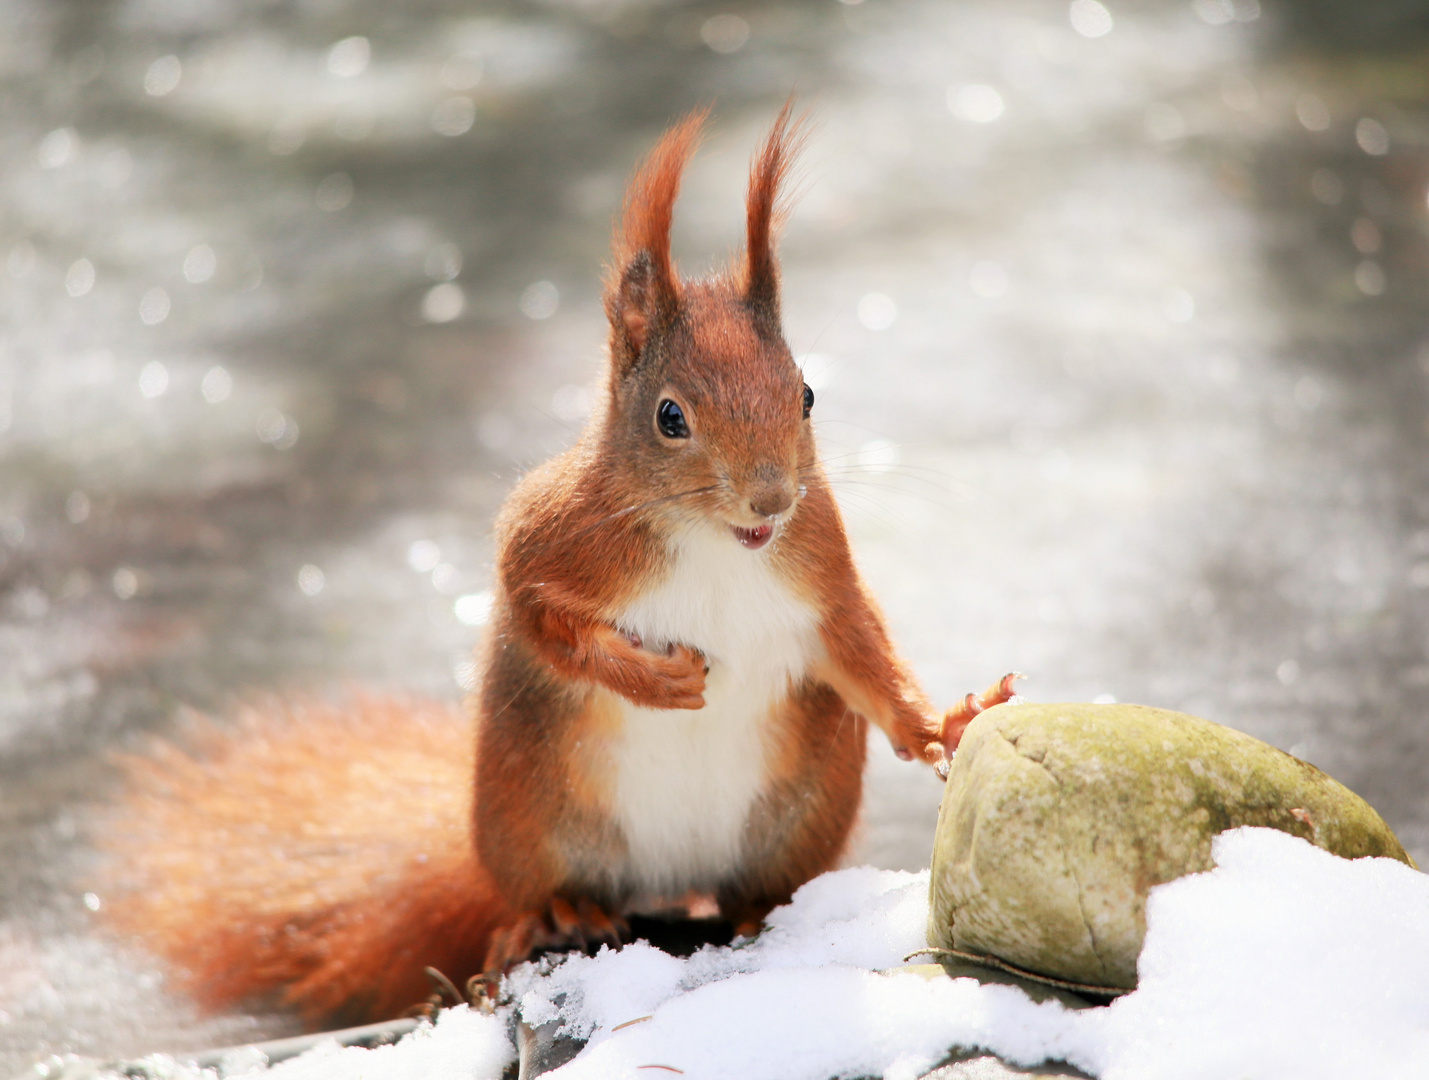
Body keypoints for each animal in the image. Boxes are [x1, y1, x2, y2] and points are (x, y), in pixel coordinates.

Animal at [100, 107, 1017, 1028]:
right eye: (670, 417)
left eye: (806, 396)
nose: (769, 498)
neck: (713, 542)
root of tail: (669, 881)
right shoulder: (544, 540)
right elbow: (542, 621)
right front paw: (654, 681)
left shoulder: (818, 572)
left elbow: (863, 655)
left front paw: (944, 725)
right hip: (528, 818)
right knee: (538, 890)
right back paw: (556, 913)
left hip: (801, 815)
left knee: (748, 888)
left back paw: (762, 909)